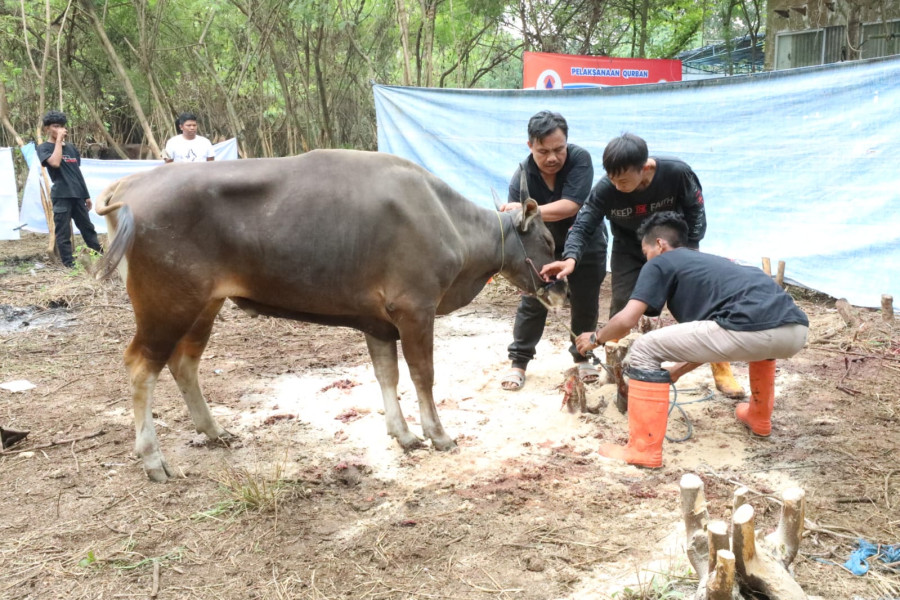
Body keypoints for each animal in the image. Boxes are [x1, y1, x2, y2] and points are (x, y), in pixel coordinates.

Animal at [98, 150, 564, 482]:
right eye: (546, 239)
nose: (559, 285)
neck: (447, 220)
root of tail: (129, 183)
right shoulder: (415, 310)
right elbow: (422, 375)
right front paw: (438, 434)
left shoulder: (378, 322)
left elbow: (386, 375)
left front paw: (403, 434)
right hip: (166, 307)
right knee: (141, 367)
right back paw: (153, 459)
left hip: (203, 307)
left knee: (184, 362)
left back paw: (213, 430)